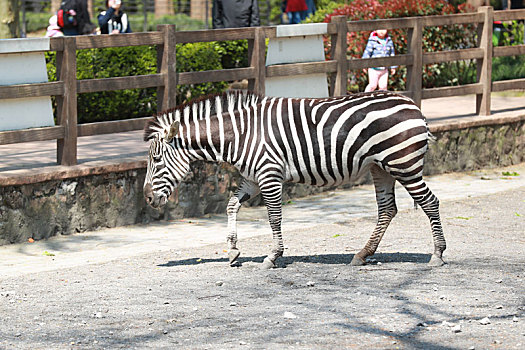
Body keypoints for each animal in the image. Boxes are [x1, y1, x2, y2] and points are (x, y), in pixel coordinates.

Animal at [143, 89, 446, 268]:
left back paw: (437, 254)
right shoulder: (253, 178)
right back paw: (362, 254)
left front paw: (272, 256)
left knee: (430, 202)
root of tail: (414, 106)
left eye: (156, 160)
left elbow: (274, 218)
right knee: (387, 209)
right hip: (380, 167)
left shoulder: (269, 174)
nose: (147, 198)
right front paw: (233, 250)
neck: (240, 136)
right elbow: (231, 205)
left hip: (403, 164)